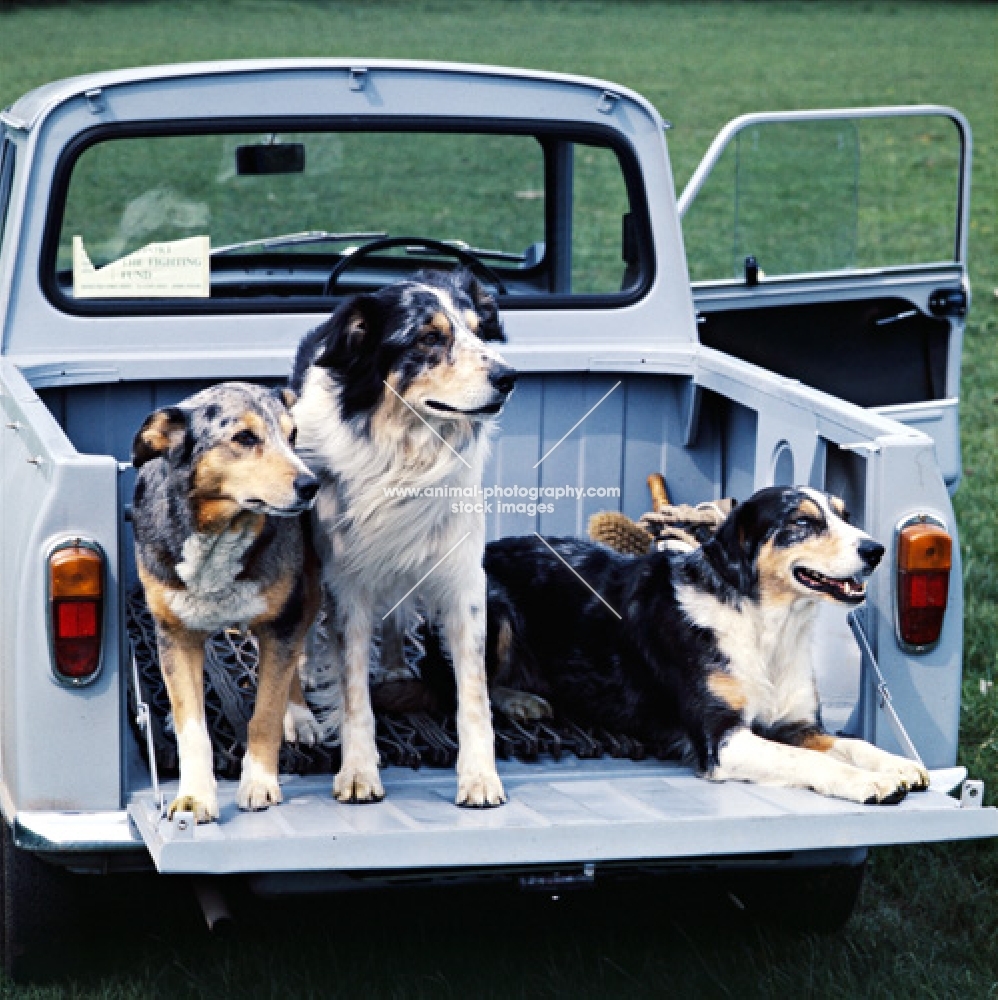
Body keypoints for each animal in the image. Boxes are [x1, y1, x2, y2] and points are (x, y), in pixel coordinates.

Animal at [292, 270, 516, 808]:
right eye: (429, 338)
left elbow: (473, 690)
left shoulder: (462, 578)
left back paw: (394, 664)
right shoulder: (346, 582)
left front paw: (480, 776)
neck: (407, 452)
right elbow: (353, 689)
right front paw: (358, 771)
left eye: (479, 330)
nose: (509, 377)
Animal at [414, 484, 928, 804]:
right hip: (487, 610)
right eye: (803, 522)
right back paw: (518, 701)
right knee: (455, 683)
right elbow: (805, 761)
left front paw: (897, 766)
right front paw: (868, 783)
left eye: (845, 515)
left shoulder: (796, 723)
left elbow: (850, 743)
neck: (765, 628)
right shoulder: (720, 739)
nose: (875, 550)